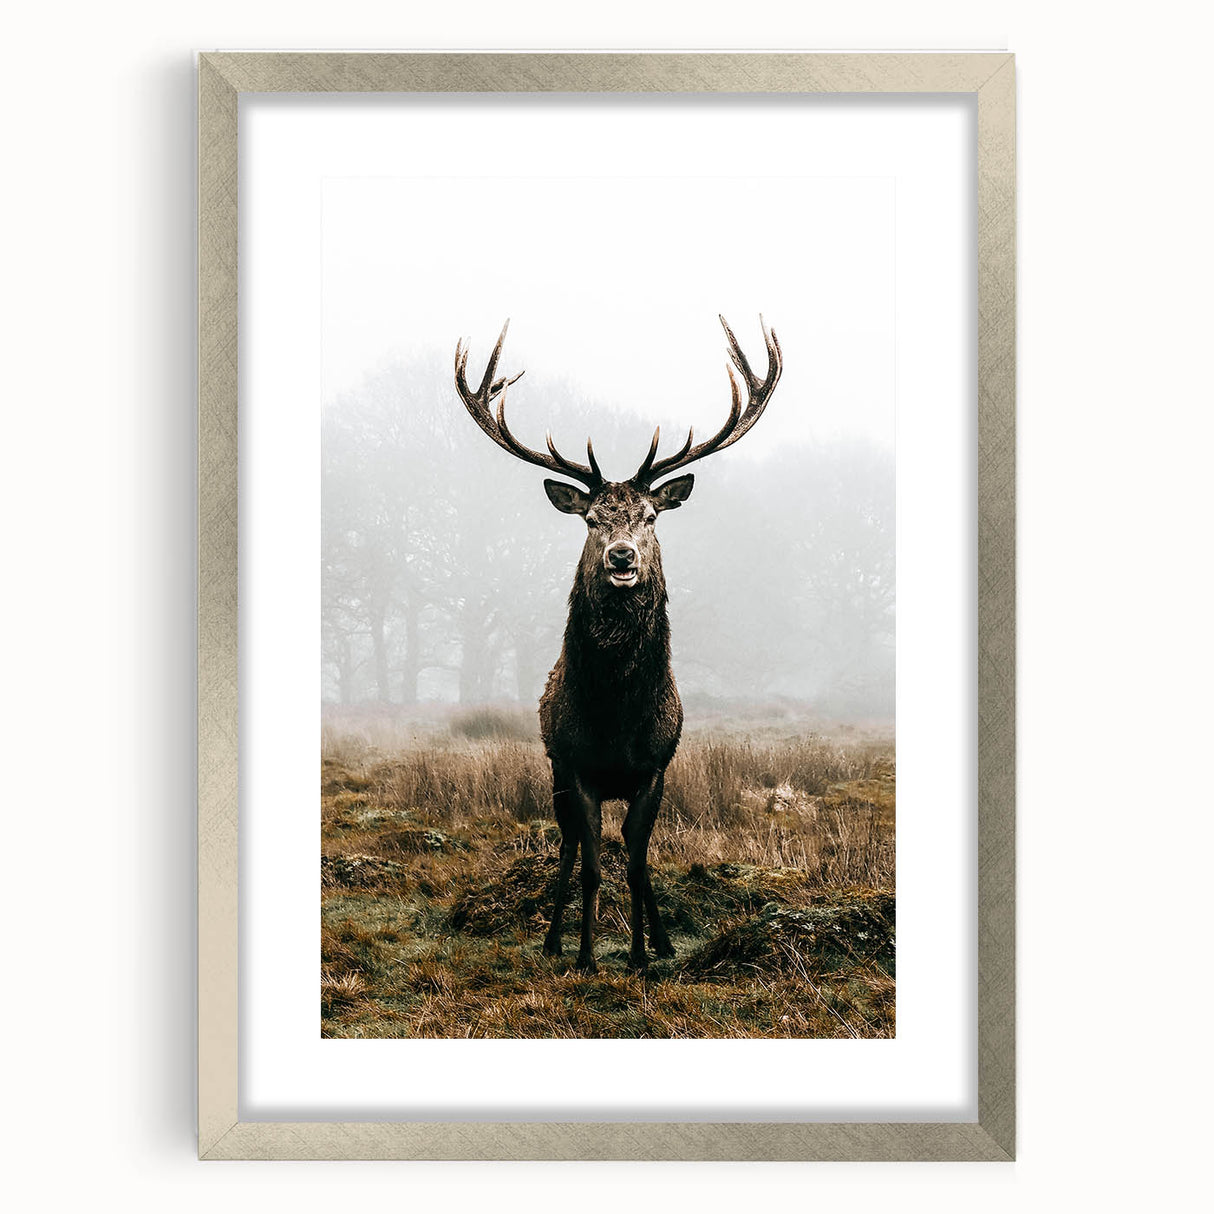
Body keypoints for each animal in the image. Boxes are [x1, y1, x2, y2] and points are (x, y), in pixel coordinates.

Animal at [454, 316, 783, 974]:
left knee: (635, 855)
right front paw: (585, 955)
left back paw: (660, 940)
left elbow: (635, 861)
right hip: (554, 771)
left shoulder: (653, 769)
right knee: (567, 848)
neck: (615, 716)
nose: (622, 557)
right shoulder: (577, 766)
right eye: (591, 520)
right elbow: (590, 865)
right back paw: (555, 939)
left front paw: (639, 955)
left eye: (651, 516)